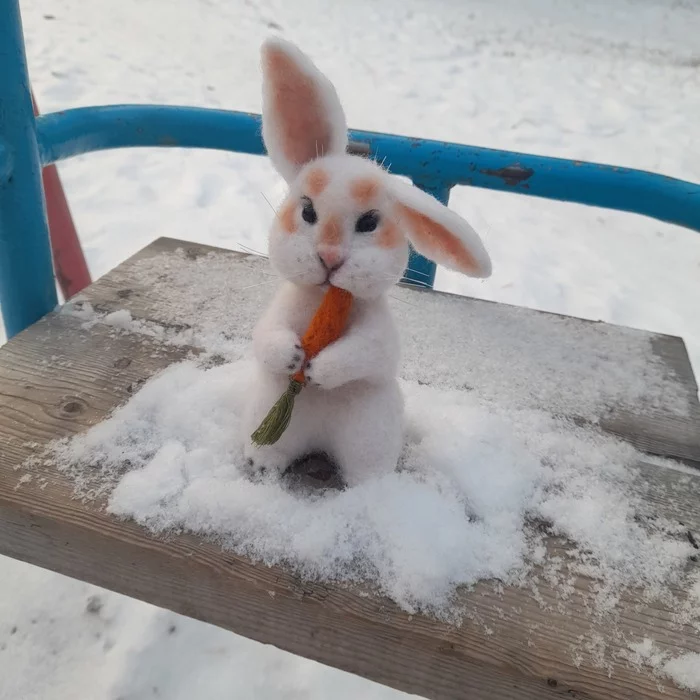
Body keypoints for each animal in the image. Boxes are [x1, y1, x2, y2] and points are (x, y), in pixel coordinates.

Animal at [242, 38, 492, 486]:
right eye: (307, 211)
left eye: (370, 222)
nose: (329, 257)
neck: (326, 301)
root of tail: (317, 439)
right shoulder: (279, 311)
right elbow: (265, 337)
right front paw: (292, 356)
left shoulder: (378, 332)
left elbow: (366, 352)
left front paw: (319, 369)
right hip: (268, 413)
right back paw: (260, 466)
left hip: (369, 431)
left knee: (365, 467)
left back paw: (370, 490)